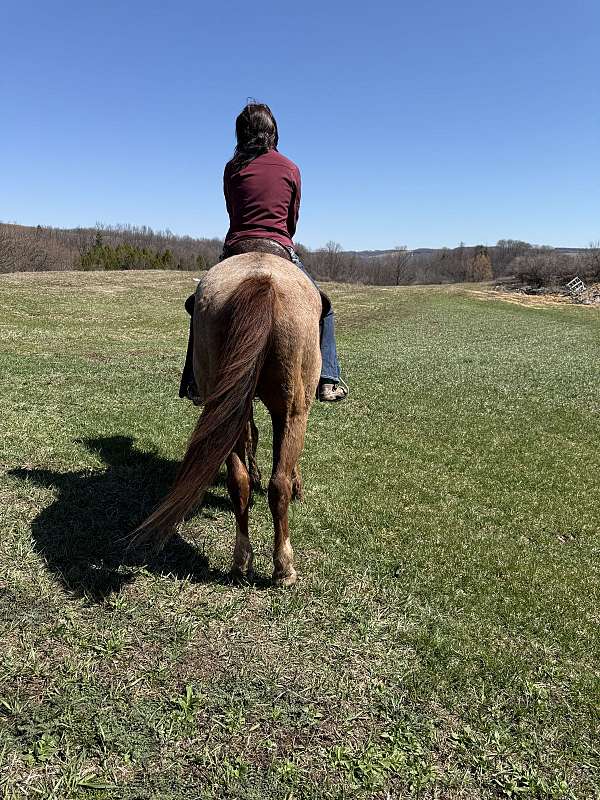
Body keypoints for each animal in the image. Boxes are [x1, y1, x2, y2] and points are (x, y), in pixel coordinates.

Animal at [132, 253, 322, 586]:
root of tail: (261, 280)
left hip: (226, 402)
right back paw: (284, 567)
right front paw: (298, 485)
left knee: (239, 480)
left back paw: (241, 560)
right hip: (293, 409)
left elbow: (251, 438)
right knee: (279, 484)